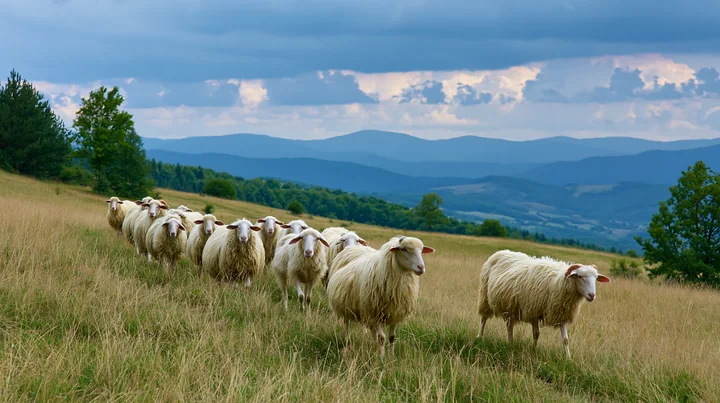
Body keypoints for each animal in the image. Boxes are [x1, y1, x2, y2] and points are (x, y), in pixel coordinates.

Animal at [476, 249, 611, 359]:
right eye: (579, 276)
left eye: (596, 278)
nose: (592, 295)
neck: (558, 282)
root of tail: (501, 252)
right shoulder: (533, 311)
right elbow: (536, 334)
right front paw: (534, 350)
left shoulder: (561, 313)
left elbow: (566, 340)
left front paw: (568, 358)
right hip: (485, 298)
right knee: (483, 319)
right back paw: (480, 337)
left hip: (511, 307)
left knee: (509, 327)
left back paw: (510, 343)